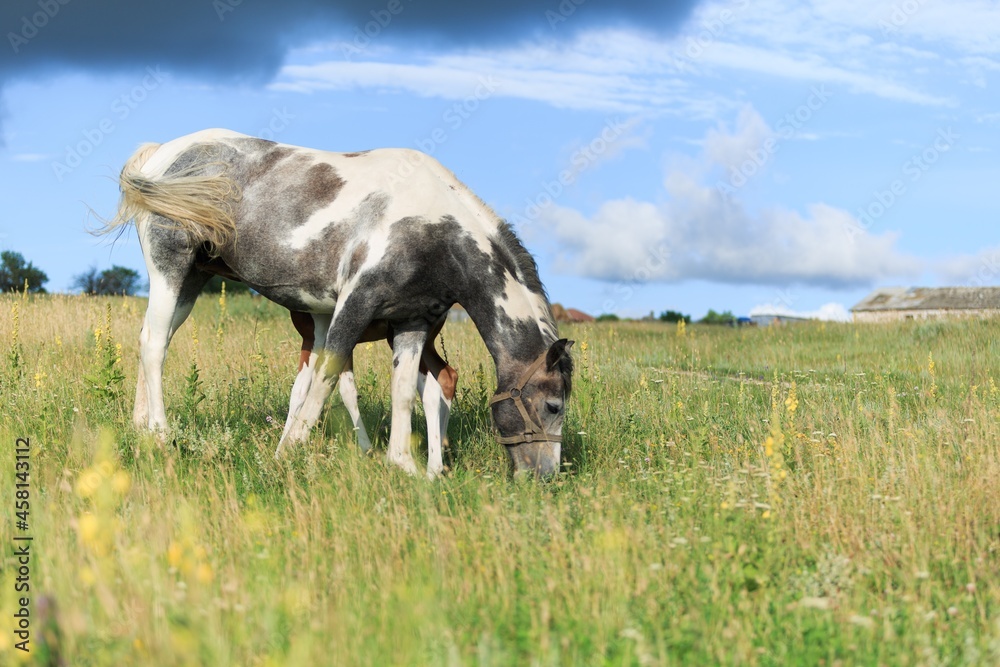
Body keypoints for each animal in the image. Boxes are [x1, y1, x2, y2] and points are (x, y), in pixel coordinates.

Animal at [105, 128, 576, 478]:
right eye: (553, 405)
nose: (544, 477)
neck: (432, 229)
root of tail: (162, 153)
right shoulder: (353, 307)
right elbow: (325, 382)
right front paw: (288, 453)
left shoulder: (412, 322)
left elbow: (402, 392)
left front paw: (404, 466)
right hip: (171, 268)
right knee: (154, 346)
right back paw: (161, 435)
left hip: (192, 281)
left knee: (153, 339)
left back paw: (140, 430)